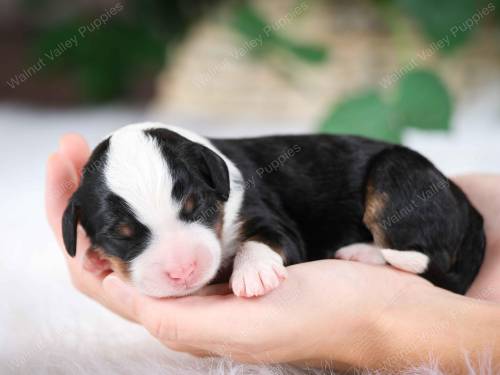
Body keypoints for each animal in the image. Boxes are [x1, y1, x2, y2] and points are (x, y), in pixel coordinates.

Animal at [60, 125, 486, 298]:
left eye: (199, 208)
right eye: (122, 235)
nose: (183, 271)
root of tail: (470, 207)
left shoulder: (270, 218)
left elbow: (264, 239)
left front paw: (253, 275)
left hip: (396, 178)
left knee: (420, 254)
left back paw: (360, 253)